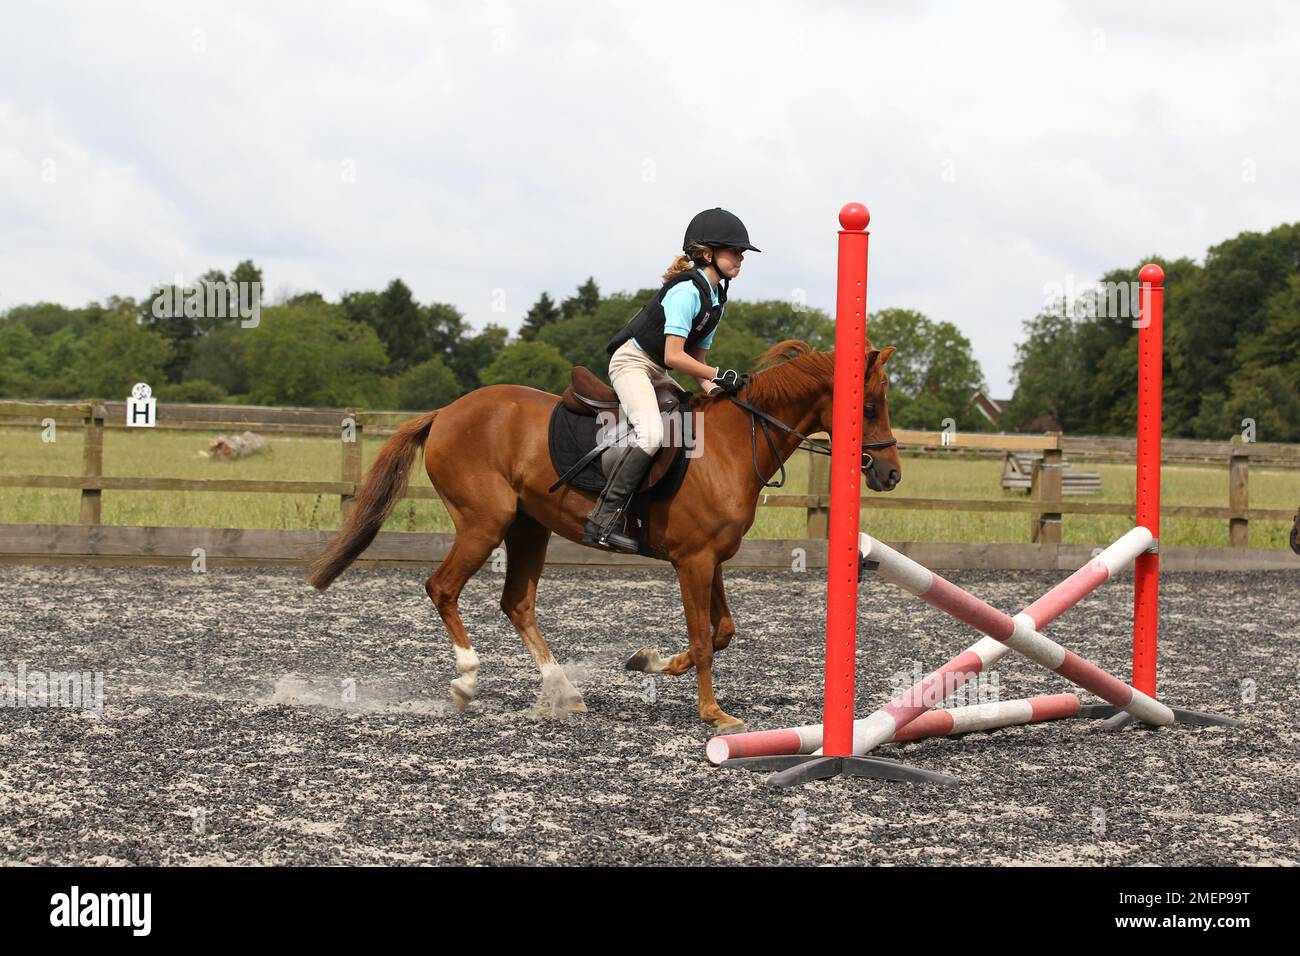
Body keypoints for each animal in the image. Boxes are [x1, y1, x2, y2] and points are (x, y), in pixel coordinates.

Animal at [308, 338, 899, 733]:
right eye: (867, 407)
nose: (890, 475)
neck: (734, 444)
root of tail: (448, 410)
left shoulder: (713, 559)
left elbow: (723, 631)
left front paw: (650, 662)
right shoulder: (693, 560)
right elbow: (704, 638)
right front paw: (714, 714)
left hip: (528, 526)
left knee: (517, 602)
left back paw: (564, 691)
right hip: (484, 523)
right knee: (443, 588)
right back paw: (467, 681)